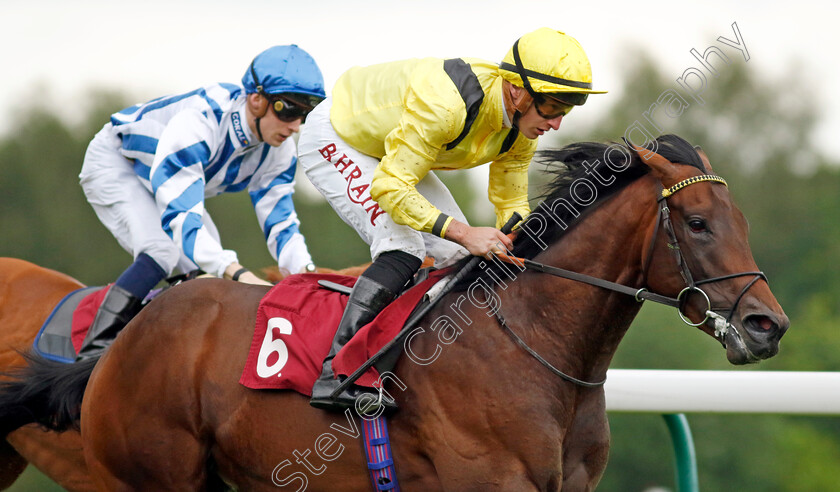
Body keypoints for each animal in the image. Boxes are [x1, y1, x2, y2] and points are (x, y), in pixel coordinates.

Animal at [0, 135, 788, 492]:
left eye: (742, 220)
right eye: (696, 223)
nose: (767, 325)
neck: (532, 347)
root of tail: (120, 342)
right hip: (151, 478)